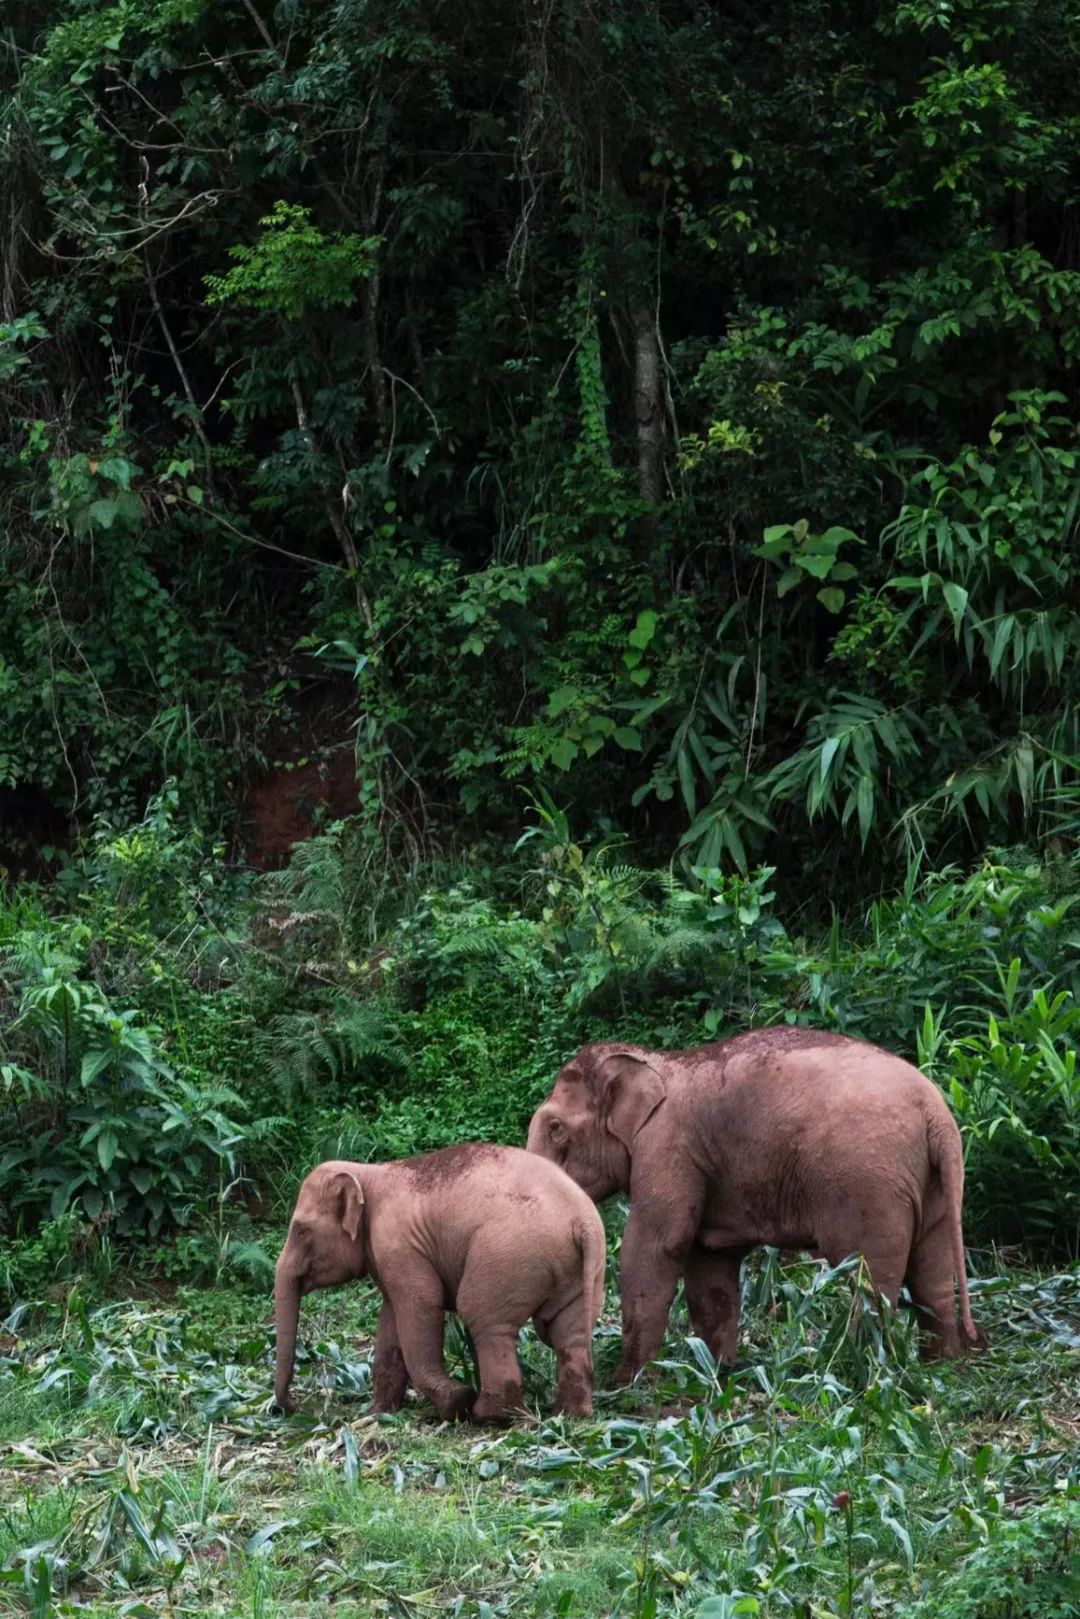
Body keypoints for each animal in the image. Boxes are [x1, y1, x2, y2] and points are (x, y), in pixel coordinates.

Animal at [275, 1139, 605, 1418]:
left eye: (300, 1230)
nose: (295, 1406)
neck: (368, 1173)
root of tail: (582, 1220)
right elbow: (390, 1319)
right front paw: (377, 1413)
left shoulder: (399, 1245)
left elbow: (422, 1304)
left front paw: (456, 1402)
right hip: (582, 1269)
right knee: (568, 1331)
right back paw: (569, 1414)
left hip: (509, 1253)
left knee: (484, 1317)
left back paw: (489, 1415)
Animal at [527, 1029, 984, 1385]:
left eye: (556, 1128)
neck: (658, 1062)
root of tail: (937, 1116)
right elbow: (708, 1263)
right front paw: (716, 1369)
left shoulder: (667, 1147)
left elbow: (656, 1247)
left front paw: (626, 1381)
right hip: (929, 1184)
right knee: (932, 1271)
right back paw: (941, 1362)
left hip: (870, 1186)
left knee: (870, 1279)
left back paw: (860, 1368)